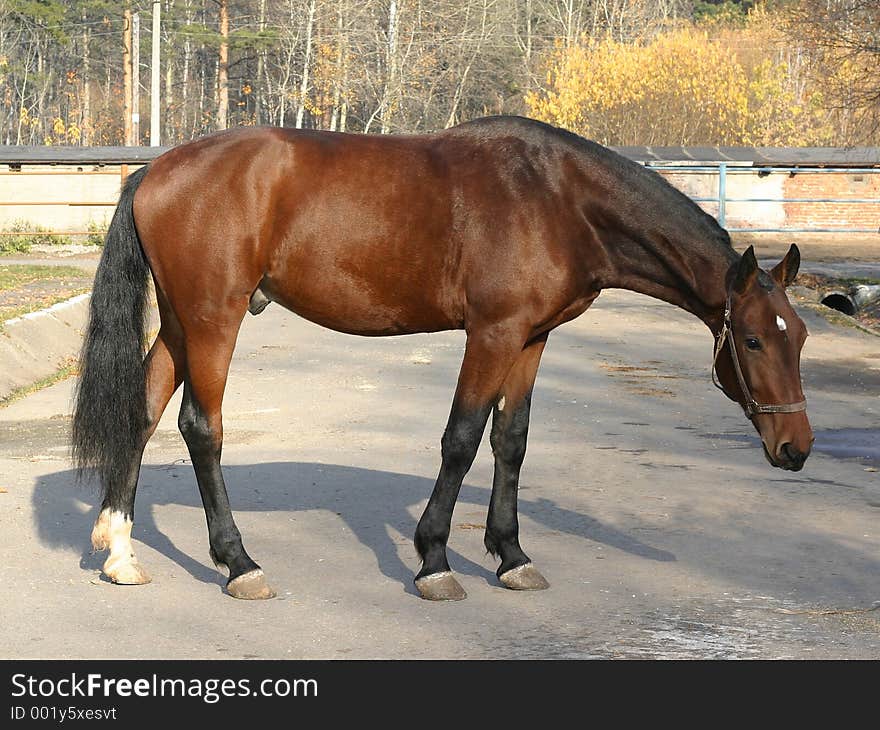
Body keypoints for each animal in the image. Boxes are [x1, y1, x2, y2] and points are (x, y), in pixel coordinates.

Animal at [72, 116, 816, 600]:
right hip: (212, 319)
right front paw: (434, 560)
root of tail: (157, 169)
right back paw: (239, 564)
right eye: (753, 339)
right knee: (201, 428)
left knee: (141, 411)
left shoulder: (532, 339)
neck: (557, 199)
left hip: (180, 322)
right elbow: (461, 439)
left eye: (801, 336)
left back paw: (121, 553)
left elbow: (511, 441)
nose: (797, 448)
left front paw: (511, 555)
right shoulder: (491, 334)